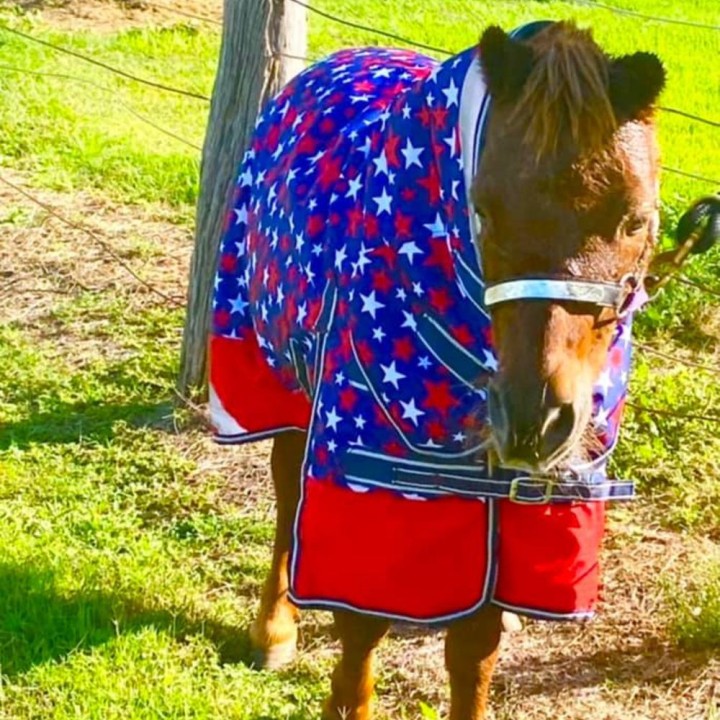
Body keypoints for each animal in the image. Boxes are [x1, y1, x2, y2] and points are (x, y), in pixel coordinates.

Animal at [209, 20, 667, 720]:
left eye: (634, 218)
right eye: (486, 209)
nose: (535, 418)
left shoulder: (510, 500)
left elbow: (474, 648)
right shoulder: (370, 481)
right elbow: (361, 625)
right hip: (278, 376)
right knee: (288, 496)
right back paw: (274, 627)